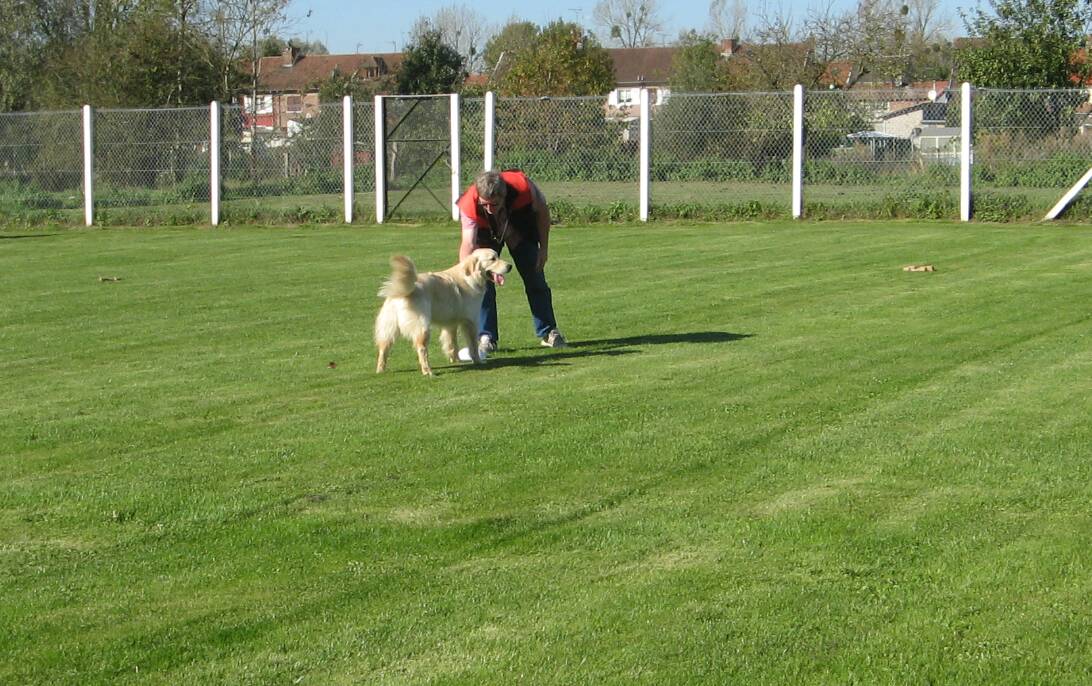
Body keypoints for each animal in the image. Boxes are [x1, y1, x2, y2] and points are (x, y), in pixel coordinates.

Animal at [375, 247, 511, 375]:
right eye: (492, 259)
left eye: (497, 256)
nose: (510, 266)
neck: (470, 276)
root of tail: (407, 290)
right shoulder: (470, 321)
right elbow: (472, 345)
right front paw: (477, 361)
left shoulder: (451, 324)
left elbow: (452, 344)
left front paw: (455, 360)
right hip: (422, 328)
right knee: (422, 349)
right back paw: (427, 371)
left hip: (389, 328)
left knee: (383, 348)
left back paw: (380, 370)